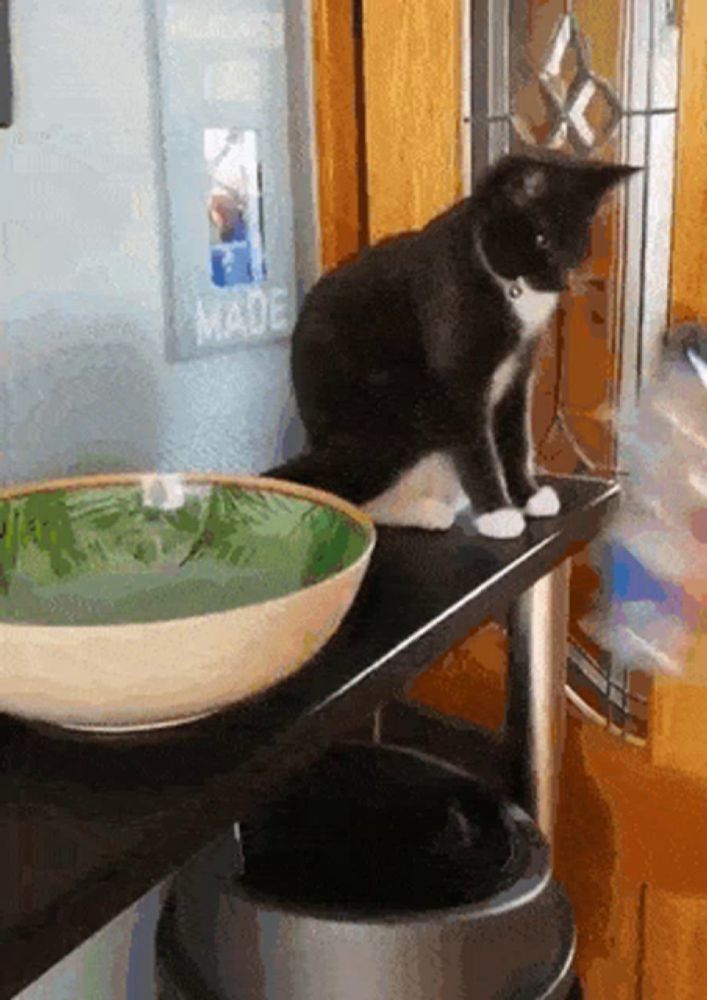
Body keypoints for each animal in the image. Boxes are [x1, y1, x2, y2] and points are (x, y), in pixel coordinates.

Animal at [266, 153, 640, 540]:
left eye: (579, 242)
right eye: (543, 240)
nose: (558, 283)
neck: (507, 284)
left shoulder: (517, 374)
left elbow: (514, 437)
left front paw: (528, 495)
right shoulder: (460, 379)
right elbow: (478, 448)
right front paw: (497, 512)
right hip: (392, 421)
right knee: (327, 491)